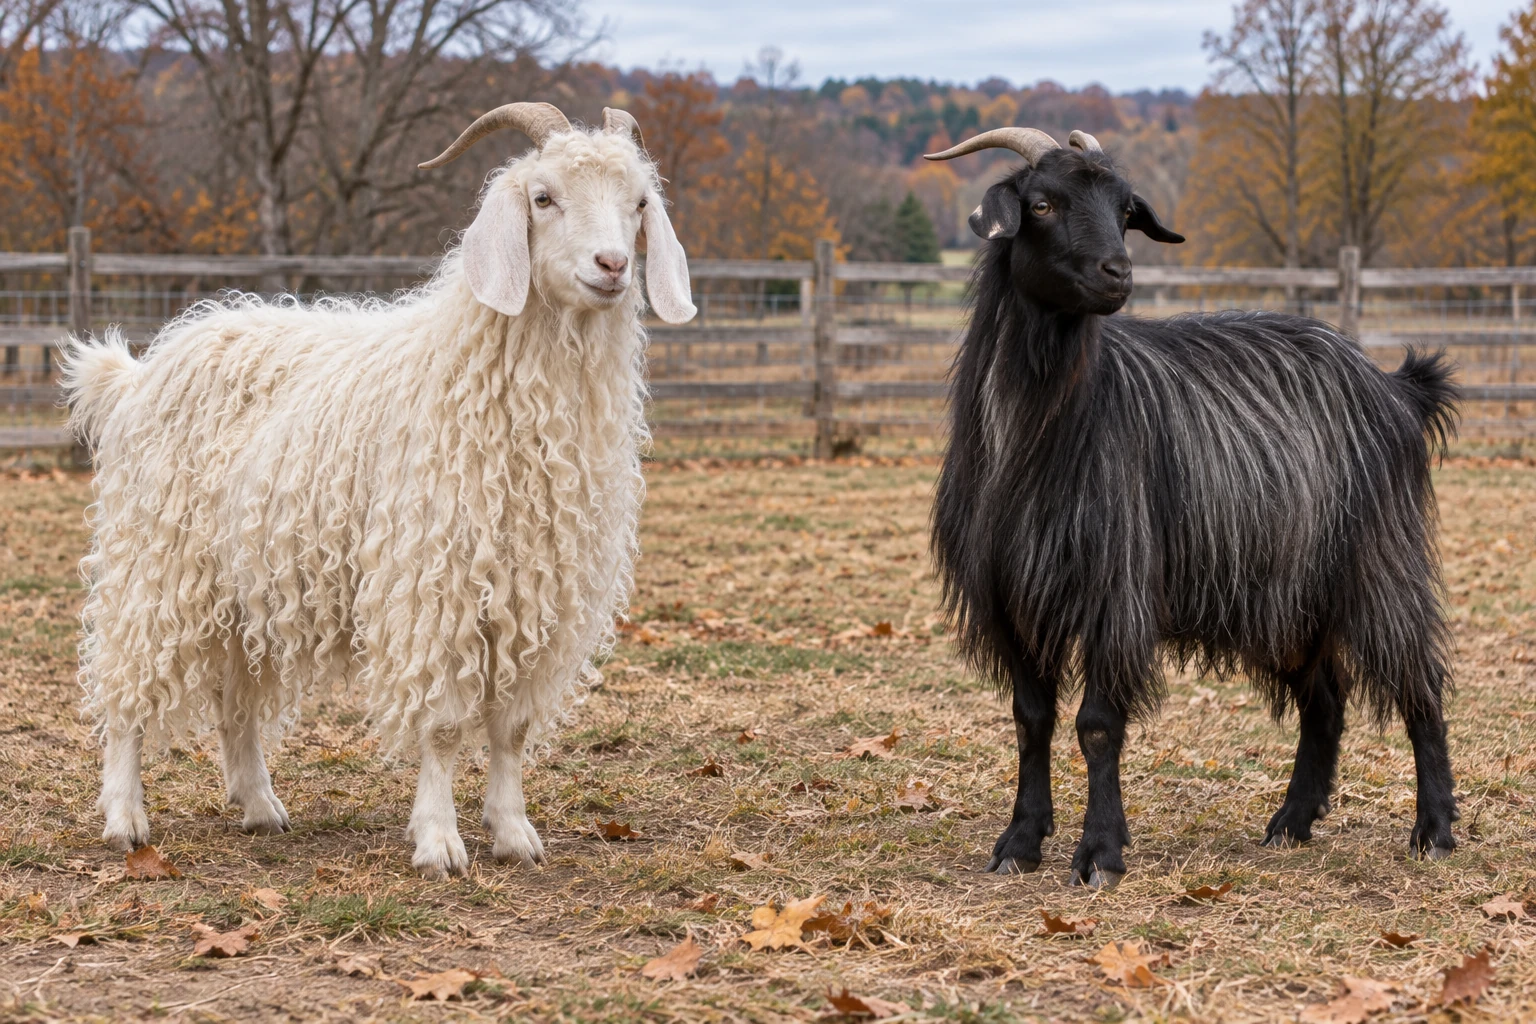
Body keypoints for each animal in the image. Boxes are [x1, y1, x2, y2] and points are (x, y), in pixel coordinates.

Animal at [63, 102, 695, 877]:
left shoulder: (536, 592)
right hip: (157, 561)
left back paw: (260, 805)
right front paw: (440, 842)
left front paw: (514, 833)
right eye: (543, 197)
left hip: (243, 584)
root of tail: (139, 372)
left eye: (638, 204)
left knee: (236, 699)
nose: (612, 266)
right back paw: (125, 818)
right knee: (127, 683)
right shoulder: (433, 585)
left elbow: (510, 729)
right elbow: (445, 727)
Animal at [925, 127, 1459, 887]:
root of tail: (1396, 388)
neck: (1035, 437)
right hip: (1288, 593)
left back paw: (1434, 829)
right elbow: (1030, 718)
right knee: (1325, 702)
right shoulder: (1008, 595)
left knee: (1420, 684)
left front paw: (1099, 854)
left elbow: (1096, 726)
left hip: (1378, 563)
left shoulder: (1114, 589)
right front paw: (1020, 843)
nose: (1118, 273)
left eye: (1125, 211)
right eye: (1042, 203)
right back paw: (1291, 823)